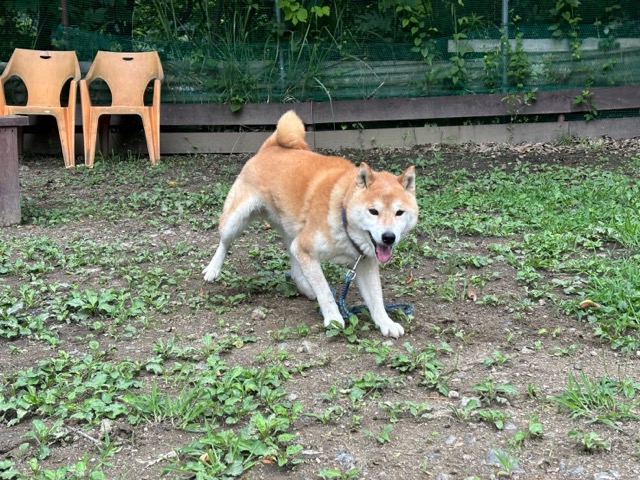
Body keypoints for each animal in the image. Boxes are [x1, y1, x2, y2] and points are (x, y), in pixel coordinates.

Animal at [202, 110, 418, 338]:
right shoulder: (306, 248)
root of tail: (272, 146)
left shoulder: (364, 262)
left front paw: (386, 322)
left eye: (399, 213)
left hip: (292, 234)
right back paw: (213, 269)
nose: (388, 237)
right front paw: (333, 318)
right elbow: (324, 291)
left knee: (294, 262)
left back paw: (305, 287)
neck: (342, 210)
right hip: (235, 221)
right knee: (224, 243)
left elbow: (376, 299)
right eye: (373, 211)